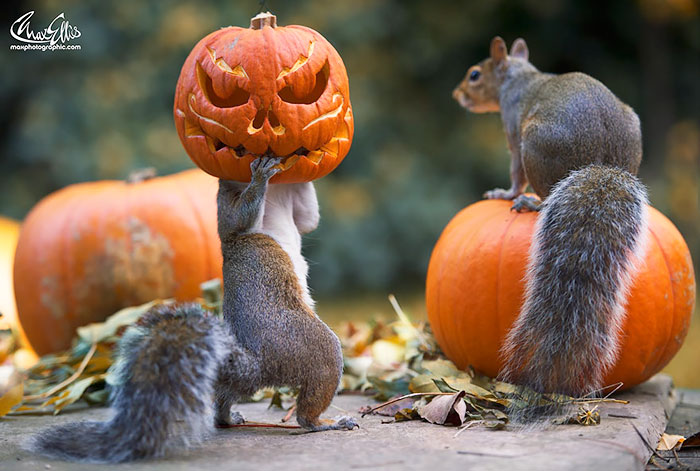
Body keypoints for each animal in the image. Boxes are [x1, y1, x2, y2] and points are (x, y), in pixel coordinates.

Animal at [31, 156, 357, 462]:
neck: (277, 193)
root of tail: (258, 363)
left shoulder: (294, 207)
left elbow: (307, 218)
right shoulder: (228, 212)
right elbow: (240, 219)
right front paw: (260, 175)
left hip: (245, 378)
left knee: (226, 396)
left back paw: (227, 417)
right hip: (314, 348)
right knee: (308, 408)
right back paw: (325, 422)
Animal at [452, 37, 650, 408]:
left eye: (474, 75)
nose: (457, 95)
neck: (519, 77)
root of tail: (604, 164)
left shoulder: (513, 131)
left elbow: (515, 172)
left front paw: (506, 192)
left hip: (536, 145)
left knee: (542, 191)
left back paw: (531, 202)